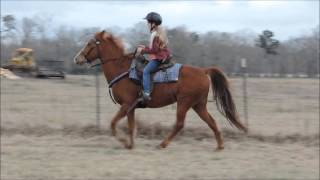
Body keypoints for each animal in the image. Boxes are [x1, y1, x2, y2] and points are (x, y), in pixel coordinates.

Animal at [73, 30, 248, 150]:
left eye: (90, 43)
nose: (77, 58)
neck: (122, 69)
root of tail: (203, 71)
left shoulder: (126, 105)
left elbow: (113, 123)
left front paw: (123, 142)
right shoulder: (130, 108)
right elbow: (130, 126)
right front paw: (130, 145)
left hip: (184, 103)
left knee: (179, 124)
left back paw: (162, 144)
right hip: (198, 105)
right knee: (211, 121)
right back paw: (220, 145)